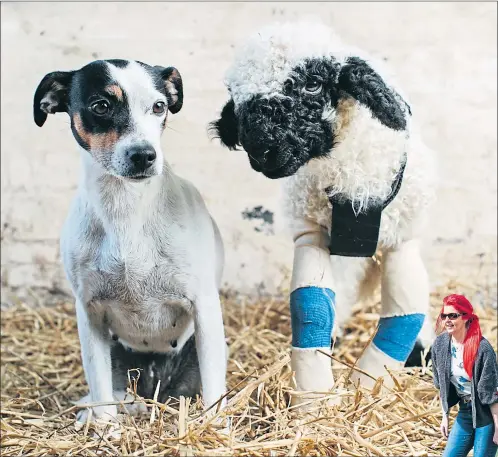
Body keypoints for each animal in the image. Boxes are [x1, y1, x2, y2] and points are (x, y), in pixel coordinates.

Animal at [210, 22, 436, 402]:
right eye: (235, 94)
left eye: (313, 84)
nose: (262, 151)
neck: (350, 182)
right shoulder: (311, 232)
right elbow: (311, 305)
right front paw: (315, 395)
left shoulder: (401, 239)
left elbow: (404, 316)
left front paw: (367, 385)